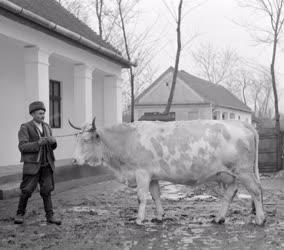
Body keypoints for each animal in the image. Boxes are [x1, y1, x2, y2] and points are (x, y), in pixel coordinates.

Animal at [69, 118, 266, 226]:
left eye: (86, 140)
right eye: (77, 139)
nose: (74, 160)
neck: (127, 139)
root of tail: (243, 123)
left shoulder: (142, 173)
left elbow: (141, 197)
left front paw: (139, 219)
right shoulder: (152, 176)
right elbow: (156, 195)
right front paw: (159, 216)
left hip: (244, 171)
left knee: (256, 191)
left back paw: (260, 219)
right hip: (229, 174)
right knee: (230, 193)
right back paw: (219, 218)